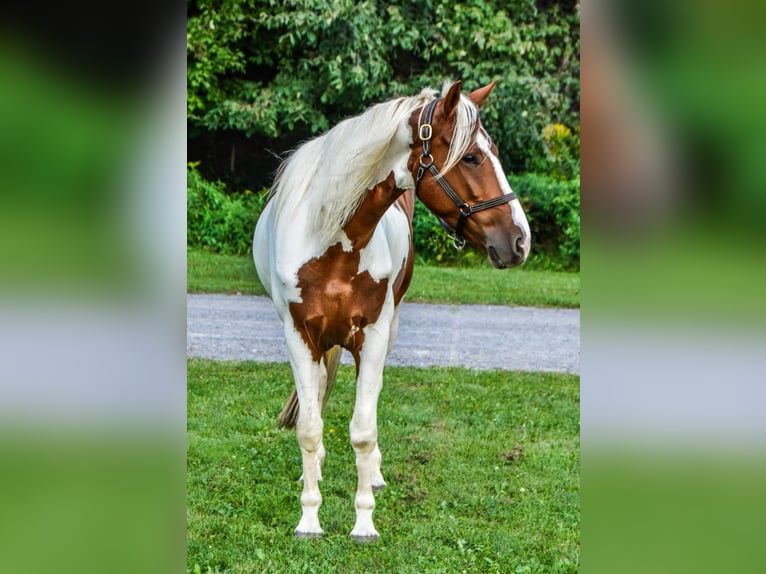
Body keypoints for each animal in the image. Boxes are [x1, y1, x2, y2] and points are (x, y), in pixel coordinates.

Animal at [255, 79, 532, 544]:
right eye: (472, 157)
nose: (519, 241)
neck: (331, 240)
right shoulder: (299, 337)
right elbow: (309, 428)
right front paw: (309, 519)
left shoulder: (373, 335)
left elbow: (364, 432)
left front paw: (364, 521)